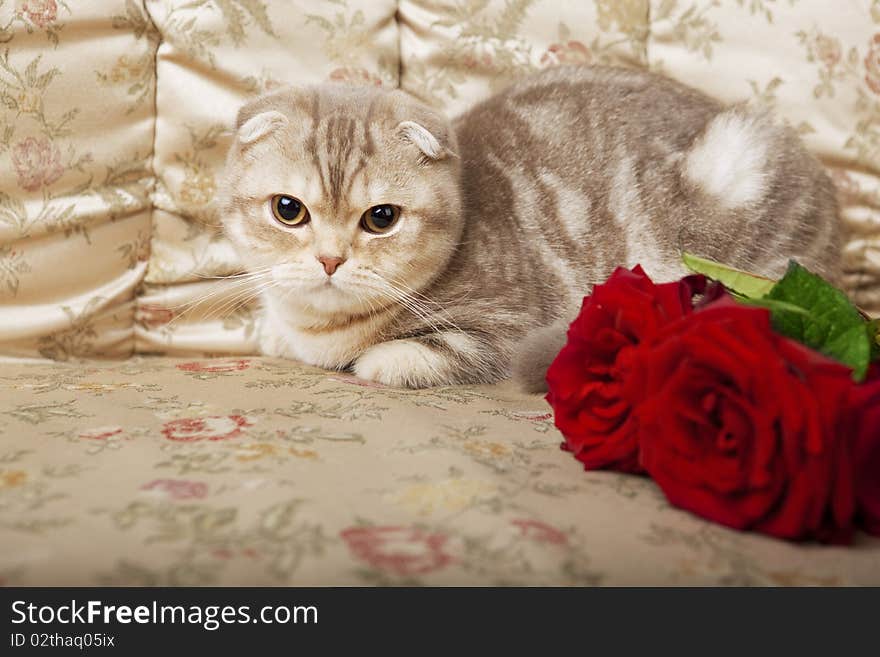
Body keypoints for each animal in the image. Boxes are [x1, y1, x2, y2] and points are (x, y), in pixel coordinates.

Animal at [220, 65, 840, 390]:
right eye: (288, 210)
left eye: (381, 218)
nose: (329, 259)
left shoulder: (501, 326)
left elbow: (403, 357)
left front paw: (371, 358)